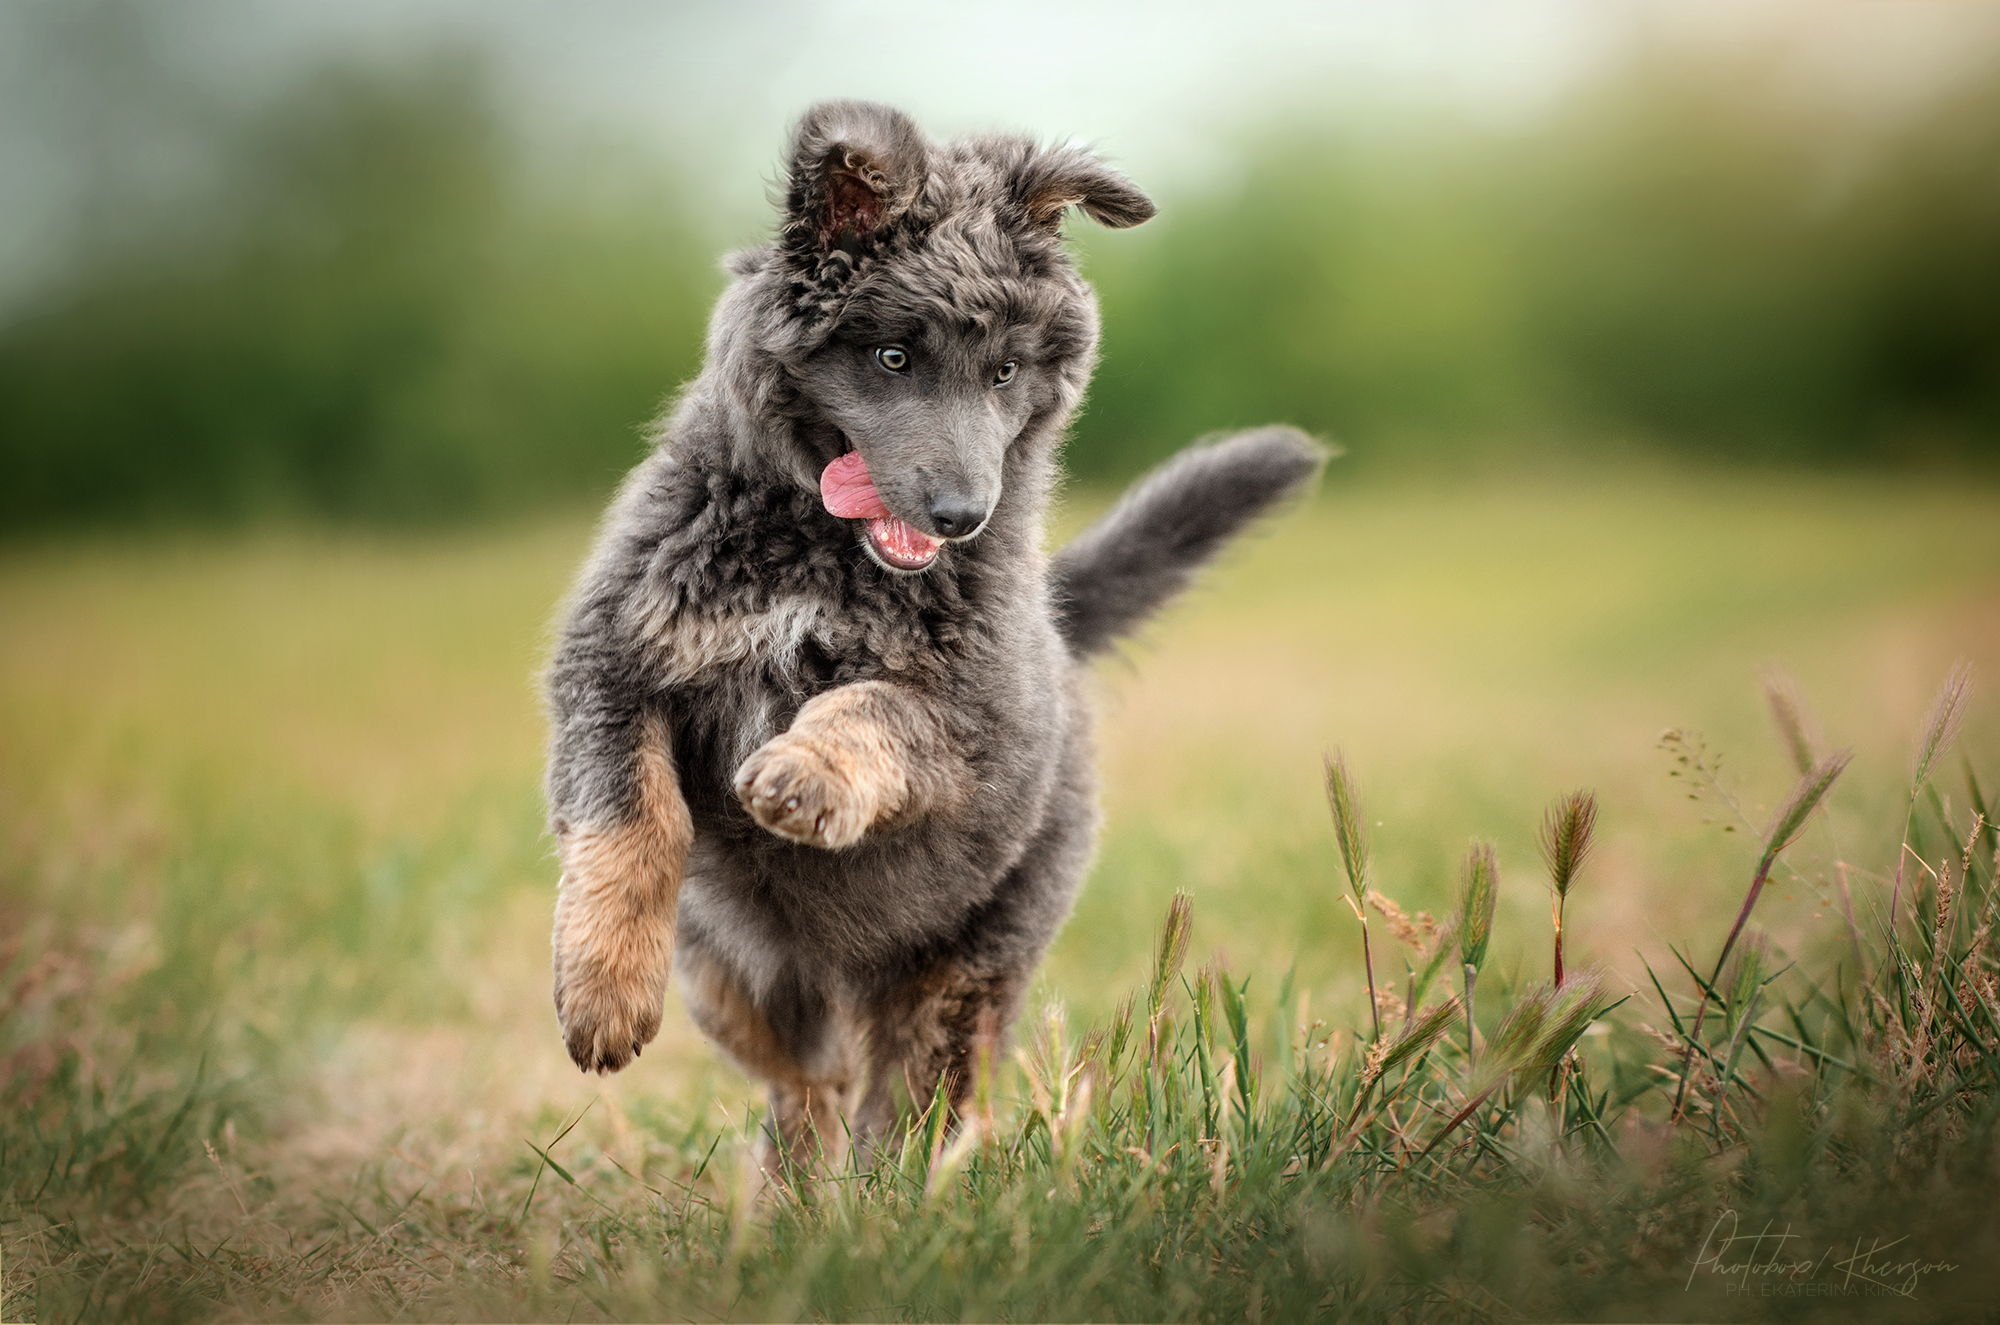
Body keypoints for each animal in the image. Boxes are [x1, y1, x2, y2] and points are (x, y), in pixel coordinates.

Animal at [548, 104, 1328, 1176]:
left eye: (1004, 371)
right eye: (892, 358)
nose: (962, 516)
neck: (816, 554)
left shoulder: (972, 714)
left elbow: (874, 706)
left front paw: (805, 771)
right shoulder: (614, 657)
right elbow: (633, 815)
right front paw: (604, 994)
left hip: (966, 962)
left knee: (909, 1098)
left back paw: (887, 1195)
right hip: (738, 974)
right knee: (811, 1080)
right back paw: (793, 1191)